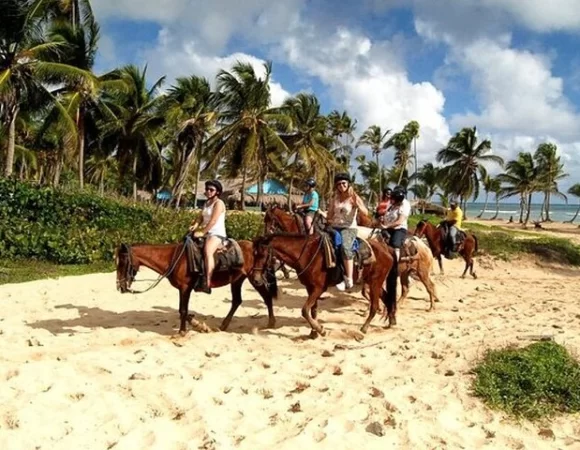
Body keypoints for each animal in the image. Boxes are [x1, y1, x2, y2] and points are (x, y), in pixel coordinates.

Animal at [115, 241, 278, 336]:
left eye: (122, 262)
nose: (120, 286)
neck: (174, 258)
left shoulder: (185, 288)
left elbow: (183, 310)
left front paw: (182, 331)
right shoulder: (183, 289)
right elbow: (184, 311)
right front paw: (198, 325)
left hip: (254, 278)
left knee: (266, 297)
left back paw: (271, 323)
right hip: (237, 280)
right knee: (237, 301)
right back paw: (224, 325)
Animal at [250, 232, 398, 338]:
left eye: (262, 255)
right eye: (254, 254)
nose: (256, 279)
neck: (307, 255)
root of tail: (386, 248)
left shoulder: (318, 288)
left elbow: (304, 310)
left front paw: (320, 330)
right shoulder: (310, 288)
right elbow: (313, 310)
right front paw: (313, 332)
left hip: (375, 283)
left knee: (375, 305)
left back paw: (364, 328)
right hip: (374, 282)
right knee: (387, 298)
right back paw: (391, 321)